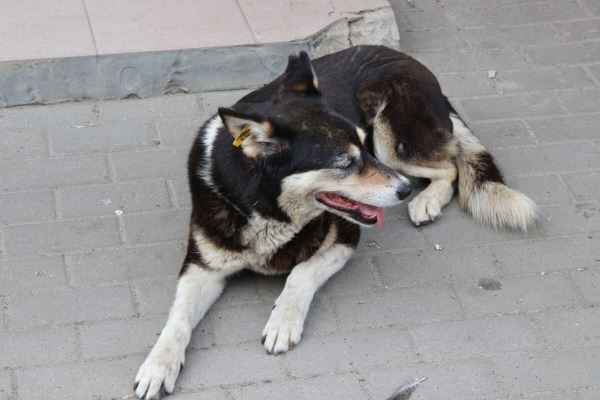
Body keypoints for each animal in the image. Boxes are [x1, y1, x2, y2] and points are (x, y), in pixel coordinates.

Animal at [134, 45, 536, 398]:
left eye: (362, 147)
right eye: (345, 162)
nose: (404, 190)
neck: (265, 205)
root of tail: (407, 59)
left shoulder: (345, 237)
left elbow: (300, 274)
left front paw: (283, 321)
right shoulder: (201, 266)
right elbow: (177, 319)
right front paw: (157, 365)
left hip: (391, 139)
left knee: (449, 166)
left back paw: (427, 201)